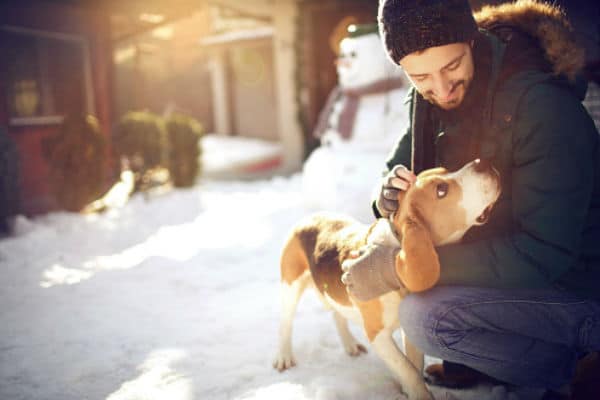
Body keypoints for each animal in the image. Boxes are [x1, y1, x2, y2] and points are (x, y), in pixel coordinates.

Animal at [274, 159, 500, 400]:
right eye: (441, 190)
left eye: (446, 170)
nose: (483, 163)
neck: (396, 250)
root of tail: (311, 217)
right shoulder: (378, 335)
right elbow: (407, 369)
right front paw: (419, 393)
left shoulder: (409, 333)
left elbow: (414, 365)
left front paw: (409, 391)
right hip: (290, 287)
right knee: (286, 323)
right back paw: (284, 357)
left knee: (337, 314)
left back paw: (350, 344)